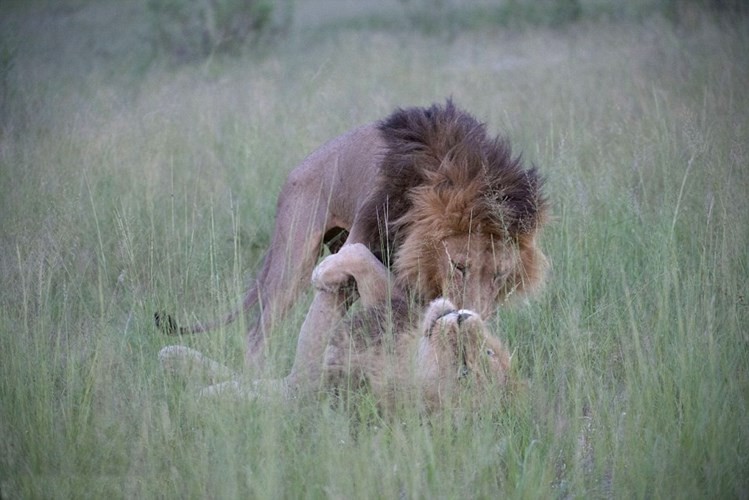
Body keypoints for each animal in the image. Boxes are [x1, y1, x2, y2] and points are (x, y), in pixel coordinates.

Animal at [157, 244, 508, 412]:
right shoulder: (389, 308)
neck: (403, 354)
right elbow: (366, 260)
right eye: (492, 352)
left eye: (464, 373)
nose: (463, 318)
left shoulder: (310, 386)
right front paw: (326, 269)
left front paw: (202, 398)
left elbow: (254, 391)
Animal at [158, 100, 548, 368]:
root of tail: (295, 172)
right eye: (459, 266)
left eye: (499, 276)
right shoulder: (365, 239)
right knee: (259, 331)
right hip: (292, 261)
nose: (475, 316)